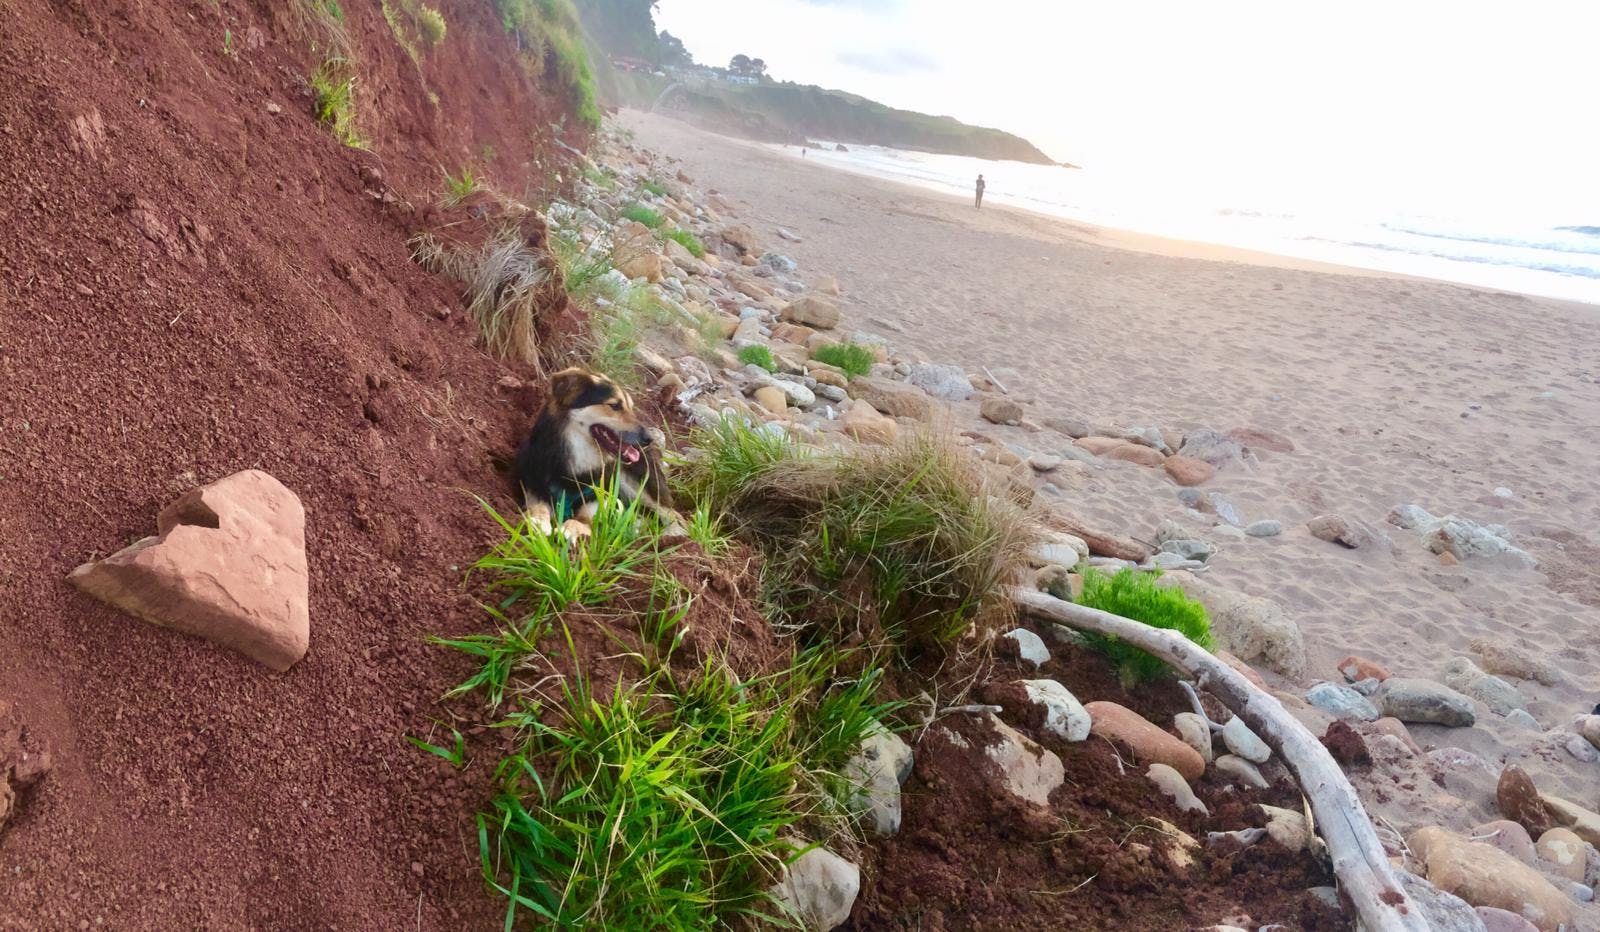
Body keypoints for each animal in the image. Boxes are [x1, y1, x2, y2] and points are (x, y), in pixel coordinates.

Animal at [513, 367, 677, 539]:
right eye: (615, 405)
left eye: (631, 408)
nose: (648, 438)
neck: (574, 472)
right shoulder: (535, 490)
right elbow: (538, 508)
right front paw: (537, 522)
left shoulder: (596, 506)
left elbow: (581, 521)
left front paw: (570, 529)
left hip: (639, 486)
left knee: (672, 514)